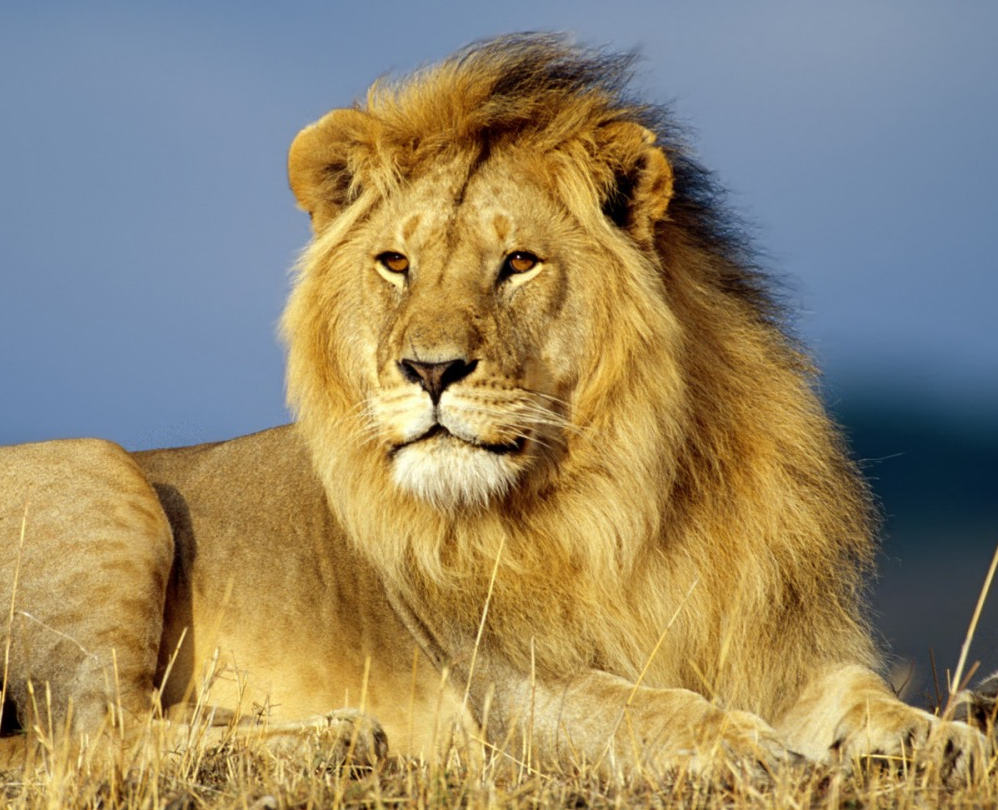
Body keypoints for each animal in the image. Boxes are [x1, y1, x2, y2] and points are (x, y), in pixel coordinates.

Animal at [0, 34, 988, 780]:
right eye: (395, 263)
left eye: (518, 262)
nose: (429, 369)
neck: (628, 493)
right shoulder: (513, 689)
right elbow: (642, 712)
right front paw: (743, 746)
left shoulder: (773, 643)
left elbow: (860, 696)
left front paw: (942, 736)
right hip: (95, 470)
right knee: (89, 738)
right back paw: (332, 740)